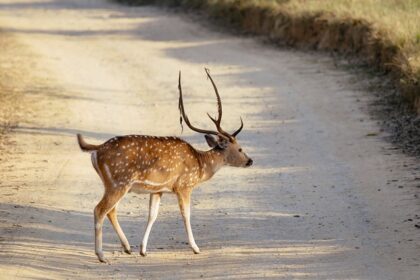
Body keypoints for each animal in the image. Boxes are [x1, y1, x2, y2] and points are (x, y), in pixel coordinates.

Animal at [77, 68, 253, 262]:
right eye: (240, 148)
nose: (250, 160)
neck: (200, 166)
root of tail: (96, 149)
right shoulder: (184, 185)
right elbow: (186, 215)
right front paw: (196, 248)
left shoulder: (158, 190)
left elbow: (152, 215)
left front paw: (143, 250)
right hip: (119, 182)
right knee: (99, 209)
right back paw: (101, 255)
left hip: (113, 184)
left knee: (111, 210)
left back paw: (128, 248)